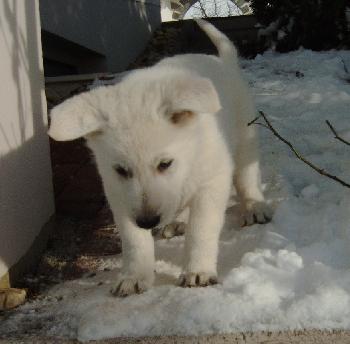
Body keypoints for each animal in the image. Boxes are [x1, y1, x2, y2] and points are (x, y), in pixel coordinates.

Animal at [48, 20, 270, 296]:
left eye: (165, 164)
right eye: (121, 170)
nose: (147, 222)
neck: (189, 155)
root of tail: (225, 63)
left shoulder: (212, 181)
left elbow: (201, 230)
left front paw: (197, 271)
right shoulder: (118, 193)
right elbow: (134, 240)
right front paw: (134, 276)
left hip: (245, 137)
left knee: (247, 176)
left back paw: (254, 207)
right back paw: (178, 221)